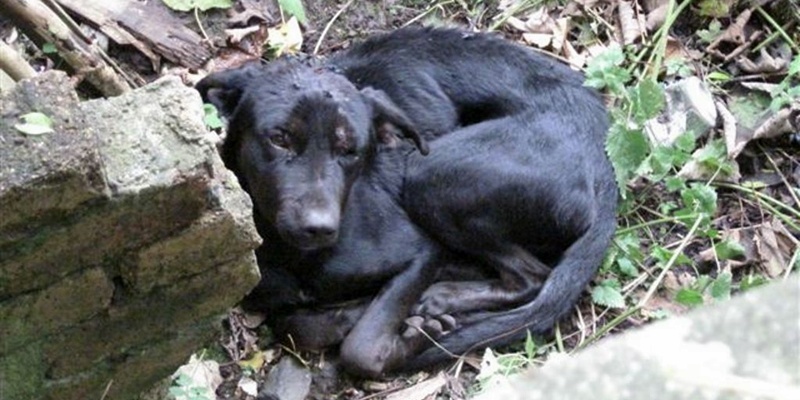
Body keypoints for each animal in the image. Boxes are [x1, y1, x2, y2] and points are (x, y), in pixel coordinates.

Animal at [195, 26, 620, 376]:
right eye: (279, 138)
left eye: (350, 149)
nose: (319, 227)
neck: (295, 256)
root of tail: (604, 160)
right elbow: (297, 326)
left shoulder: (421, 252)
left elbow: (362, 346)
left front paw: (412, 333)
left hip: (430, 173)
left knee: (532, 275)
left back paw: (444, 297)